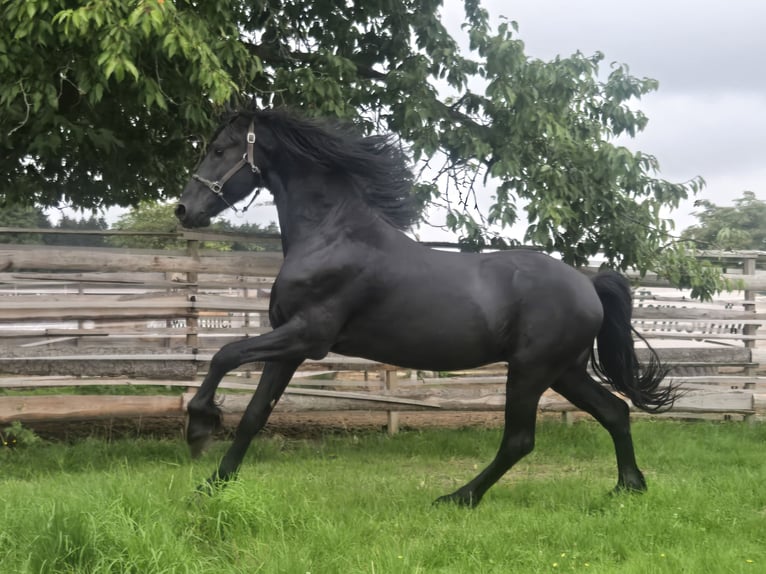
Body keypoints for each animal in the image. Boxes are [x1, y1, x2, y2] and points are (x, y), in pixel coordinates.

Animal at [175, 107, 674, 506]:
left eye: (219, 149)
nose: (183, 210)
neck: (332, 235)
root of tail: (588, 284)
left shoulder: (307, 335)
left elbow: (224, 355)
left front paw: (199, 427)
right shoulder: (290, 347)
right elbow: (255, 416)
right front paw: (211, 487)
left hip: (532, 370)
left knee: (519, 440)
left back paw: (459, 497)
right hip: (564, 370)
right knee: (614, 412)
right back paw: (627, 488)